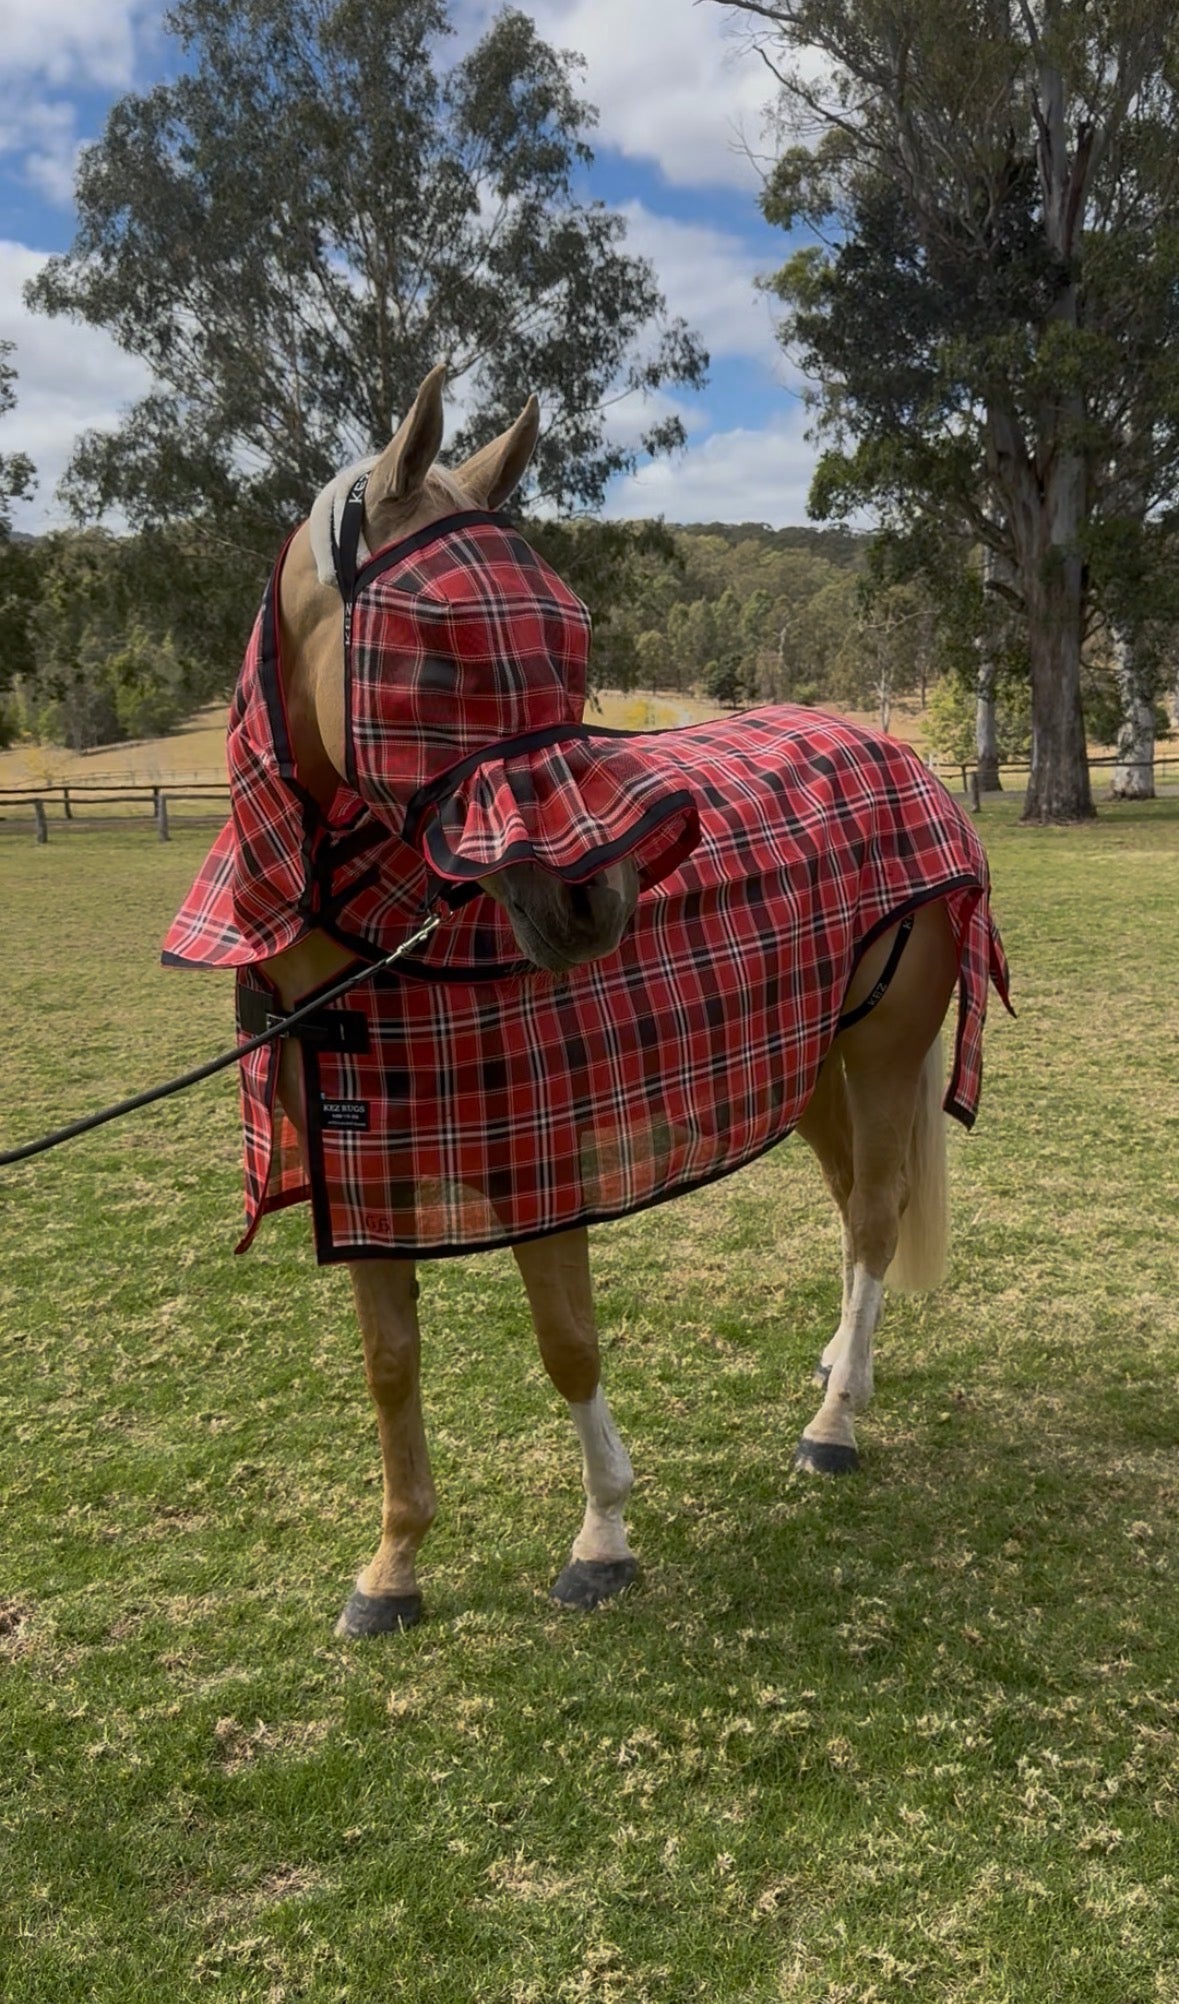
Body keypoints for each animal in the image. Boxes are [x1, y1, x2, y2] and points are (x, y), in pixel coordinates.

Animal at [164, 365, 1010, 1638]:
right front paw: (393, 1566)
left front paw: (603, 1538)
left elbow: (567, 1345)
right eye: (435, 645)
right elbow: (390, 1366)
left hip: (883, 1049)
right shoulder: (367, 1180)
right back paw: (840, 1369)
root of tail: (903, 758)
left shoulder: (542, 1164)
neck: (382, 952)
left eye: (571, 626)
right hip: (812, 1061)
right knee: (855, 1199)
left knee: (873, 1217)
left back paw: (832, 1428)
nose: (592, 897)